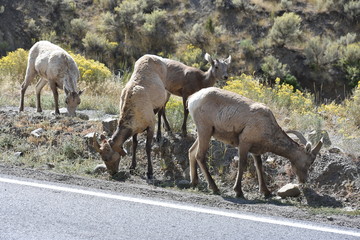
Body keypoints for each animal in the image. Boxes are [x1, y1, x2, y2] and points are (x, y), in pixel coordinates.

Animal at [188, 87, 324, 198]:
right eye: (310, 162)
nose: (303, 180)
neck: (268, 127)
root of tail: (192, 99)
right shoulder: (244, 143)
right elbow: (242, 164)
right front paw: (238, 191)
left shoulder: (255, 150)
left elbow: (259, 165)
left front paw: (266, 192)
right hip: (205, 130)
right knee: (200, 155)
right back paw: (215, 188)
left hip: (204, 133)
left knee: (191, 151)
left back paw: (194, 182)